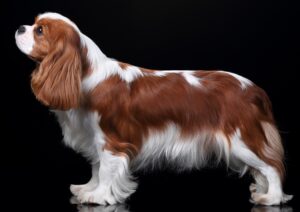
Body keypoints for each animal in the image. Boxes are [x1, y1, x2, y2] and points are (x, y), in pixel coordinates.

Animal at [15, 12, 292, 205]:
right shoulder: (94, 139)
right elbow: (96, 168)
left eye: (40, 30)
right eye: (34, 24)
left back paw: (271, 198)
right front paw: (88, 188)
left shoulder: (111, 142)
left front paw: (99, 196)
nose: (20, 27)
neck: (85, 74)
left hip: (241, 140)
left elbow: (105, 170)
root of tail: (253, 89)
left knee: (272, 166)